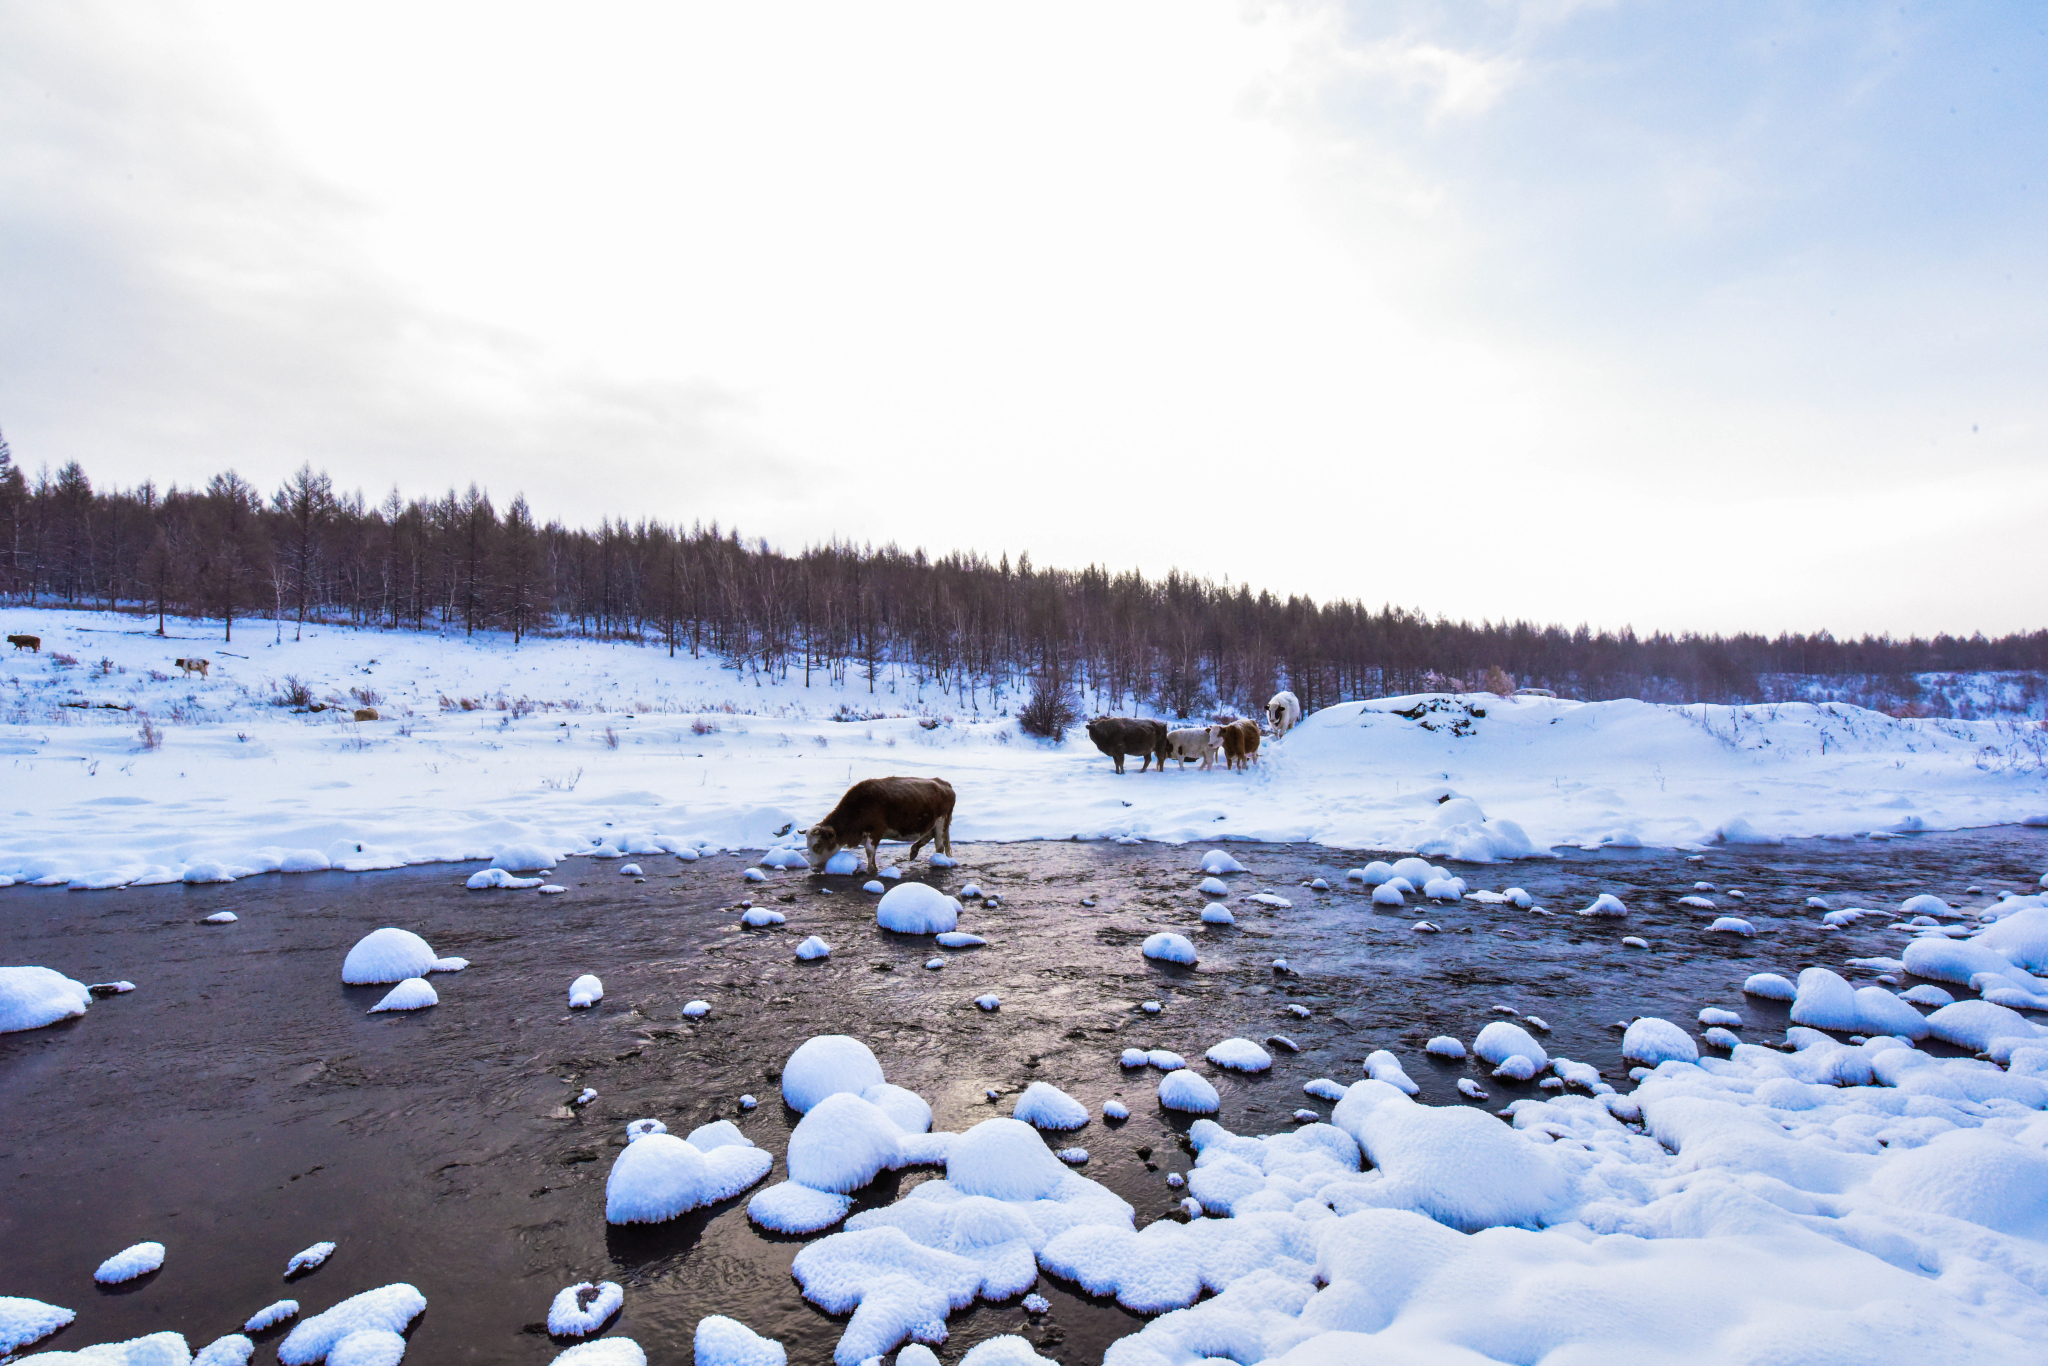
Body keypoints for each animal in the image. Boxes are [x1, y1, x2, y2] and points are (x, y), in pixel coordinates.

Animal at [802, 774, 954, 872]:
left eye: (818, 845)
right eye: (808, 846)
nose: (813, 868)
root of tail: (944, 783)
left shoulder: (876, 830)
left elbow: (870, 850)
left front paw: (872, 869)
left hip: (942, 822)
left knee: (939, 845)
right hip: (933, 823)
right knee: (930, 836)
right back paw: (914, 851)